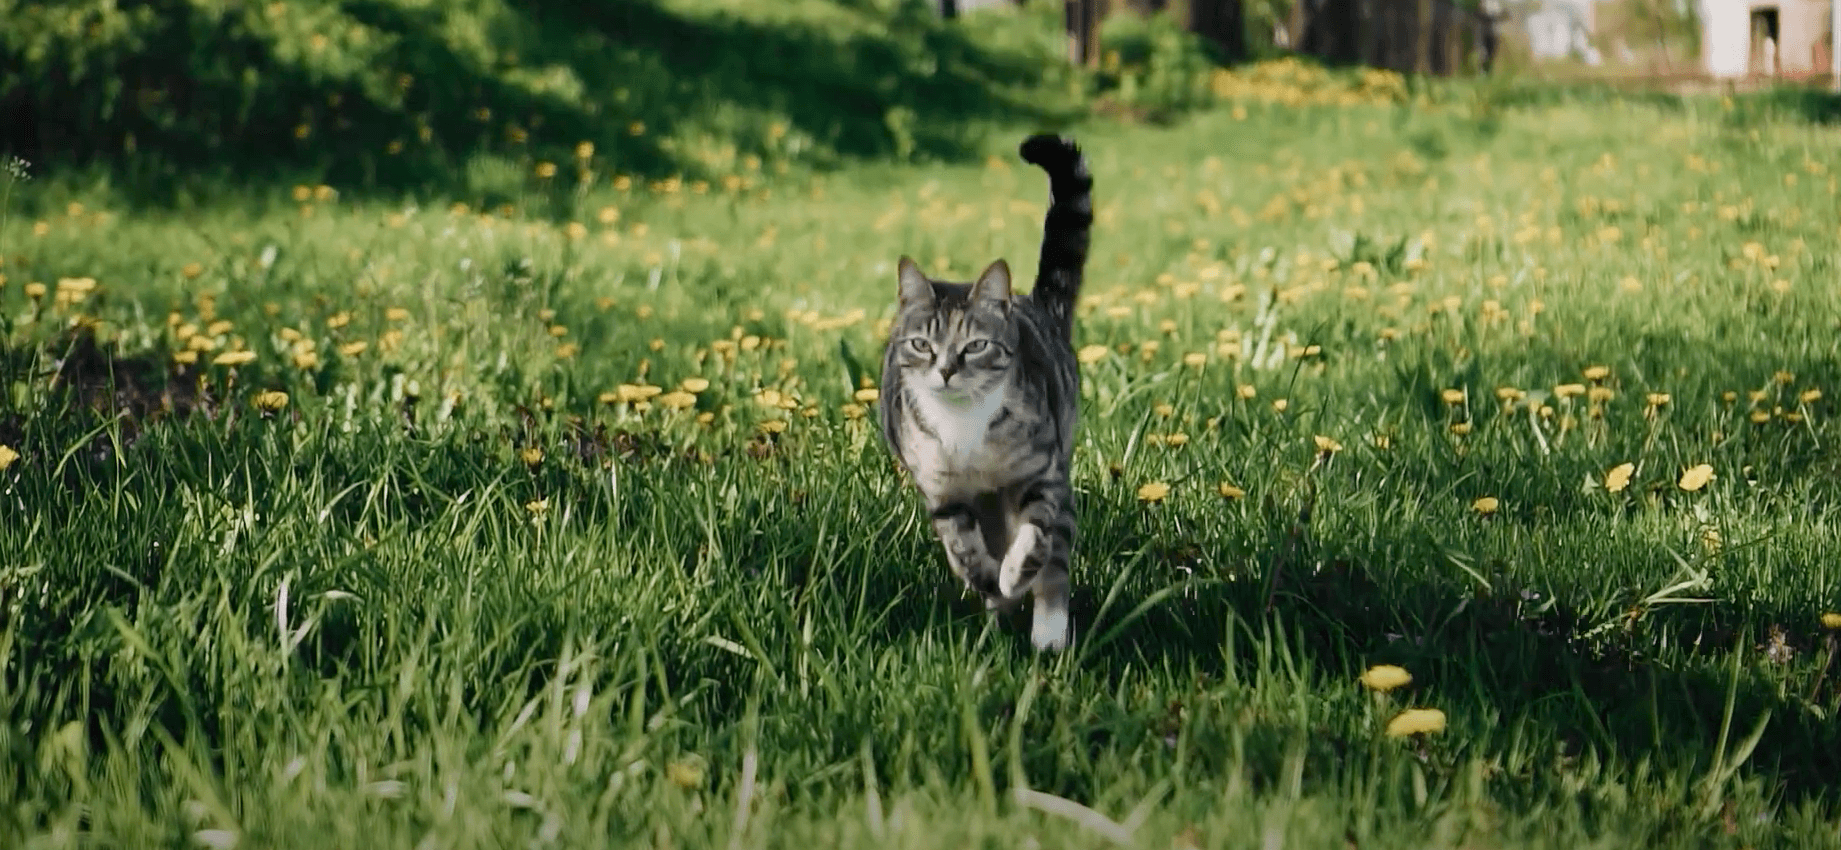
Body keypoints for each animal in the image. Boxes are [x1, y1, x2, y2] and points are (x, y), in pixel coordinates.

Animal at [876, 132, 1089, 654]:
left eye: (975, 346)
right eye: (922, 345)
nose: (947, 370)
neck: (964, 424)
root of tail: (1035, 304)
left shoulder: (1041, 471)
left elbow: (1036, 537)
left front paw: (1016, 575)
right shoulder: (942, 488)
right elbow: (963, 548)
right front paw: (988, 580)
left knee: (1055, 556)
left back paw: (1047, 632)